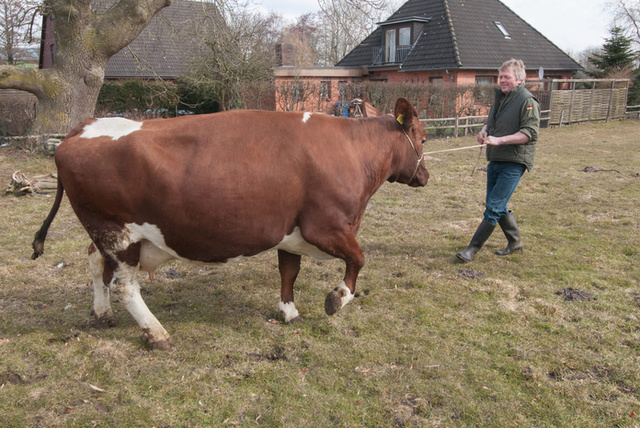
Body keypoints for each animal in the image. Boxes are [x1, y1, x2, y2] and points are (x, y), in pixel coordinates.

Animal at [31, 98, 430, 350]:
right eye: (424, 138)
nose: (425, 176)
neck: (351, 151)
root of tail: (81, 128)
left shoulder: (289, 233)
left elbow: (289, 272)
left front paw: (289, 312)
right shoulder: (327, 226)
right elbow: (358, 260)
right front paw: (337, 298)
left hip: (105, 235)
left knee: (95, 264)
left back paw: (102, 314)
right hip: (119, 233)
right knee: (126, 286)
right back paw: (157, 334)